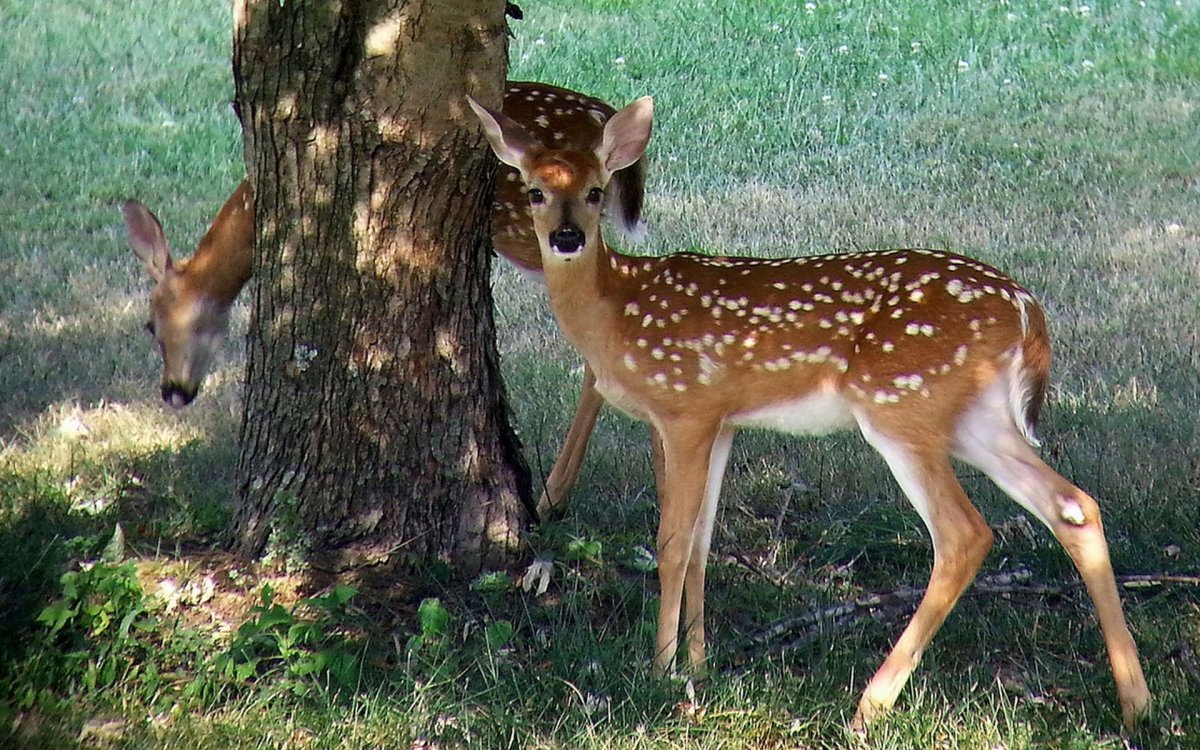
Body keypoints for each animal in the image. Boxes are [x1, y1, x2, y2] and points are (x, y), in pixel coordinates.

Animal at [120, 81, 643, 513]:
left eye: (157, 322)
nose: (173, 391)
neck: (256, 214)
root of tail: (602, 113)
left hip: (535, 231)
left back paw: (554, 493)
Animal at [468, 92, 1152, 724]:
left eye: (594, 191)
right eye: (535, 191)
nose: (566, 237)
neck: (616, 310)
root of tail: (1026, 309)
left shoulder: (686, 407)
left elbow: (672, 540)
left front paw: (661, 669)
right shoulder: (723, 421)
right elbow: (704, 541)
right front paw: (697, 663)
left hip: (901, 403)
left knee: (965, 533)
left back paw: (872, 704)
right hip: (974, 417)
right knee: (1074, 506)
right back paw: (1135, 702)